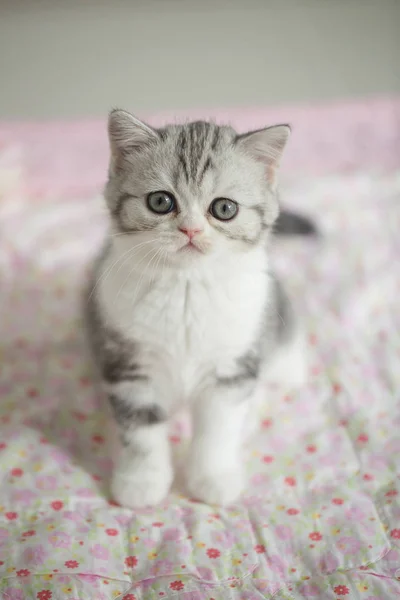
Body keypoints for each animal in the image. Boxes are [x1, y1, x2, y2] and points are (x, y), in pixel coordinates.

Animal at [86, 110, 312, 508]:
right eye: (161, 201)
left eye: (224, 208)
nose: (190, 230)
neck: (186, 288)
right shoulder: (128, 363)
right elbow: (140, 431)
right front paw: (142, 482)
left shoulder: (231, 368)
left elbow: (218, 429)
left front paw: (213, 478)